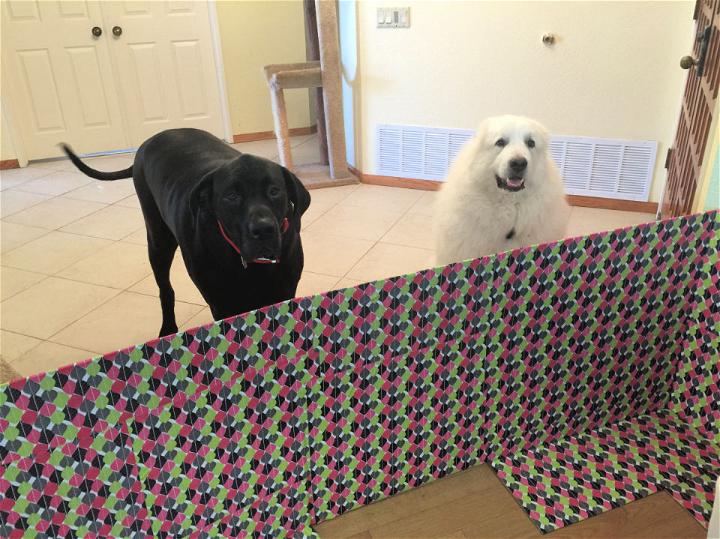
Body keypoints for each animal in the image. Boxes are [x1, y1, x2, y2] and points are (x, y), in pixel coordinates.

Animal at [62, 128, 310, 336]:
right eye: (231, 196)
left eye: (274, 191)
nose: (263, 229)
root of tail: (149, 141)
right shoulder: (222, 304)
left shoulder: (285, 291)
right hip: (158, 242)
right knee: (165, 290)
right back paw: (168, 328)